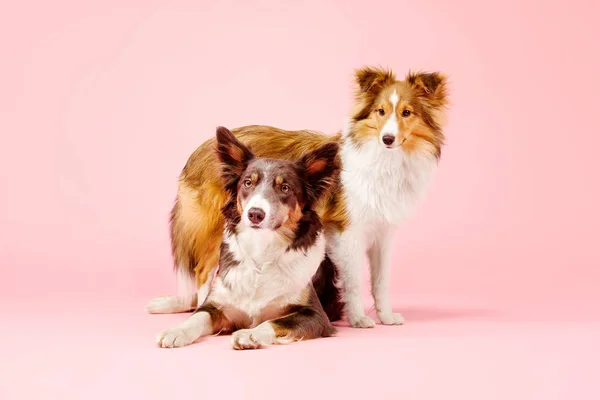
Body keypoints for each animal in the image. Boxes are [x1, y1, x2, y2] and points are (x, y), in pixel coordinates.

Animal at [156, 126, 338, 348]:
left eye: (285, 188)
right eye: (248, 183)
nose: (255, 214)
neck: (262, 250)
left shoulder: (316, 316)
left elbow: (273, 321)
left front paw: (250, 334)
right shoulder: (218, 306)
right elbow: (198, 316)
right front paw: (177, 331)